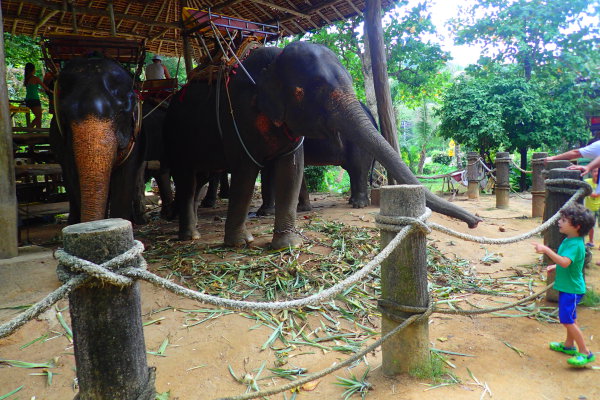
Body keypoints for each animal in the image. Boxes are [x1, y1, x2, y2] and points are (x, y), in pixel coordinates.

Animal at [162, 41, 480, 247]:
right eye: (310, 90)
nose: (475, 221)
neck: (273, 60)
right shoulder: (238, 118)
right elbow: (249, 170)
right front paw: (242, 243)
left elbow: (291, 169)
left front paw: (287, 245)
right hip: (176, 134)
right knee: (187, 178)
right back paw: (191, 235)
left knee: (356, 168)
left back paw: (356, 204)